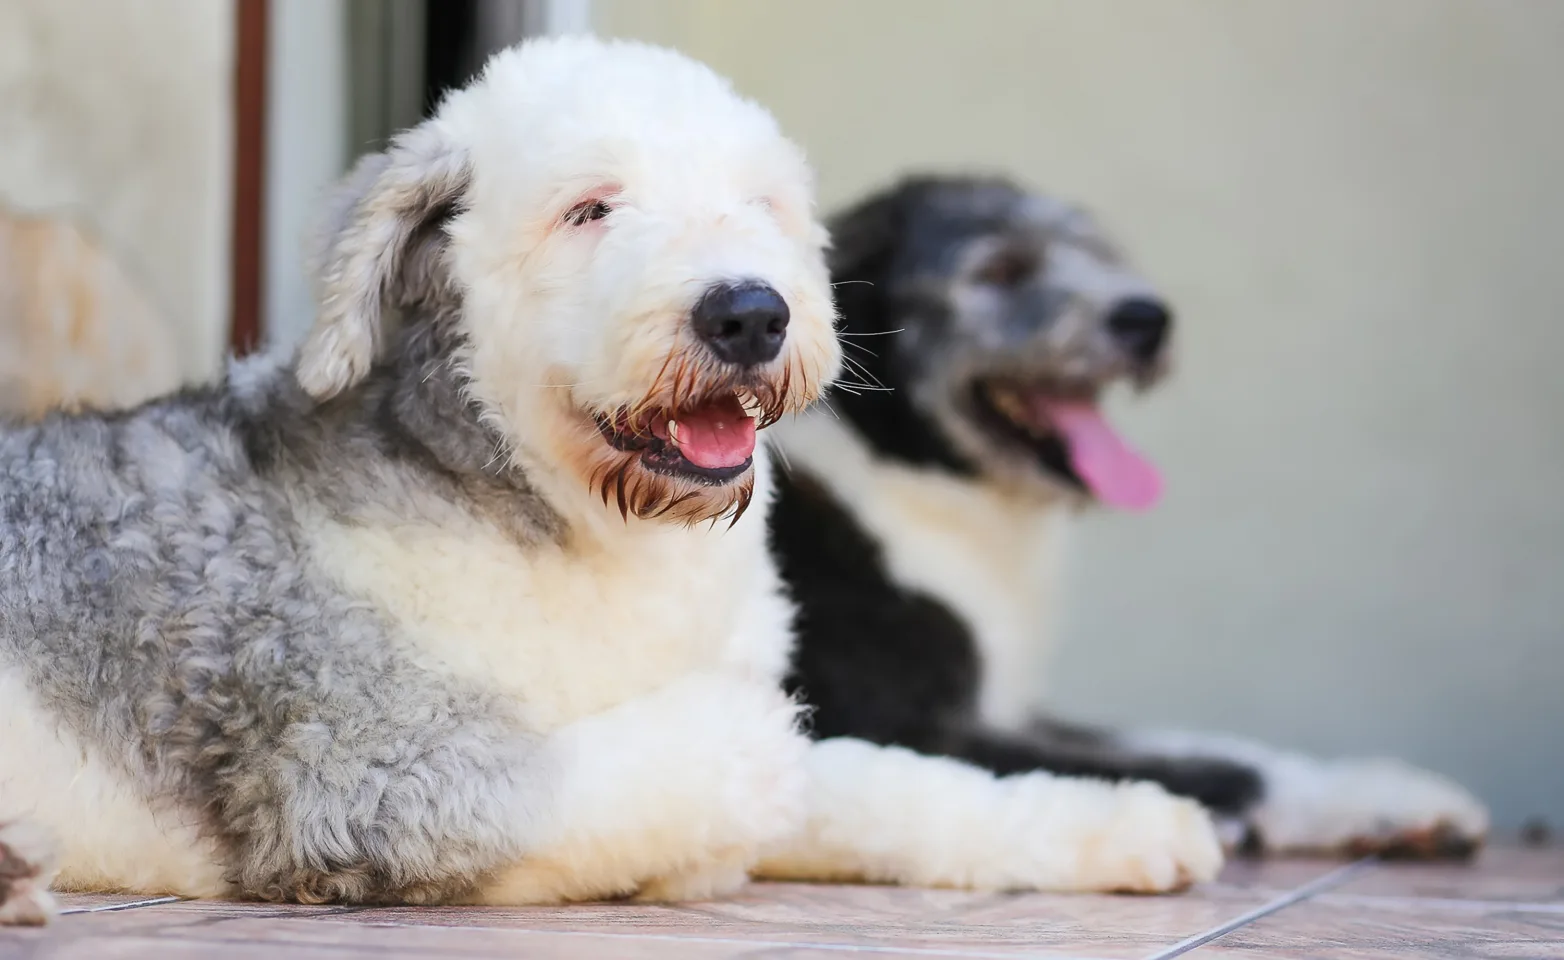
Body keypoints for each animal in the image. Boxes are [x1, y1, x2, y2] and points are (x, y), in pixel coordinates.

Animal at [769, 175, 1488, 881]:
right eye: (998, 269)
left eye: (1098, 252)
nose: (1147, 318)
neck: (908, 473)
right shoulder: (906, 727)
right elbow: (1207, 767)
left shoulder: (1011, 709)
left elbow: (1178, 738)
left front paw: (1382, 795)